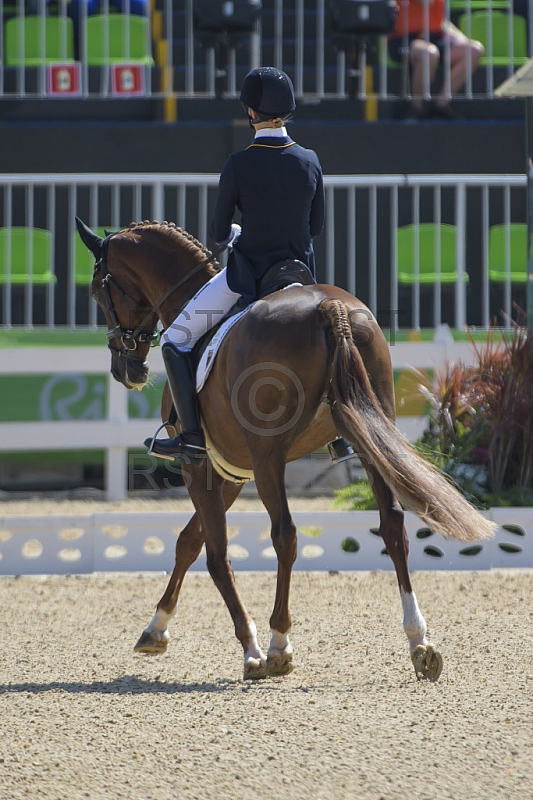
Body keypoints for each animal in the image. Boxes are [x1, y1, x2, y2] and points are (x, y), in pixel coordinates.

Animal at [76, 217, 494, 680]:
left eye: (97, 290)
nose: (124, 369)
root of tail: (329, 308)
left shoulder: (202, 468)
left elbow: (215, 554)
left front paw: (251, 649)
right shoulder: (233, 474)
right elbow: (189, 541)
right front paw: (155, 629)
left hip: (269, 457)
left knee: (285, 535)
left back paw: (278, 644)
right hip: (370, 436)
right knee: (393, 526)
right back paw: (419, 642)